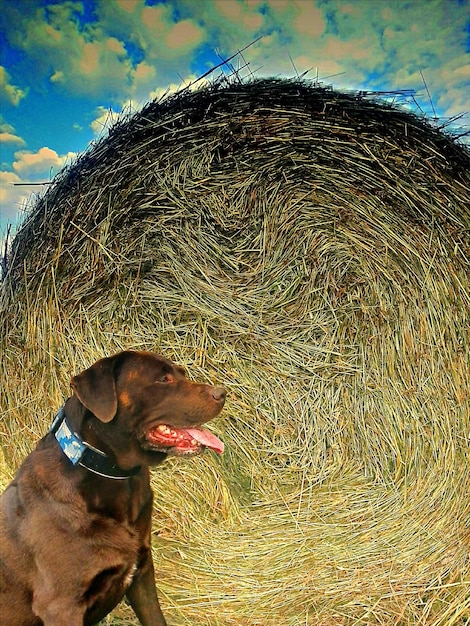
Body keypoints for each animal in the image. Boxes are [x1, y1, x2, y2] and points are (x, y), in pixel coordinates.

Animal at [0, 352, 226, 624]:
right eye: (163, 379)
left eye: (181, 373)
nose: (222, 393)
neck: (114, 475)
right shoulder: (61, 606)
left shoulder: (141, 573)